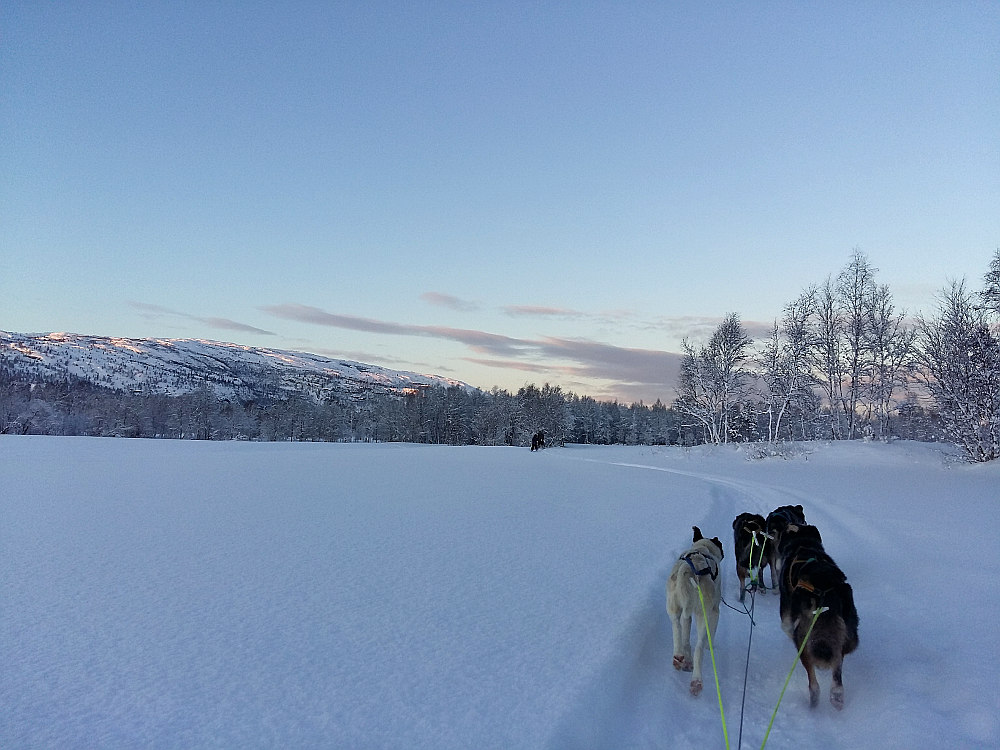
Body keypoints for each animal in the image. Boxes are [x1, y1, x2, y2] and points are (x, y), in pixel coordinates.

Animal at [668, 528, 724, 700]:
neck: (702, 548)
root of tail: (689, 571)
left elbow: (685, 632)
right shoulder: (715, 611)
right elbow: (710, 638)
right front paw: (710, 647)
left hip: (673, 606)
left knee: (678, 629)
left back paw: (680, 657)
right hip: (703, 614)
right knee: (699, 646)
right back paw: (696, 681)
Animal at [776, 524, 856, 712]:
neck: (803, 544)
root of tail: (823, 587)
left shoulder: (787, 615)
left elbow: (786, 627)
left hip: (803, 640)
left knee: (814, 683)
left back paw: (814, 702)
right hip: (848, 633)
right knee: (837, 667)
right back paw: (837, 697)